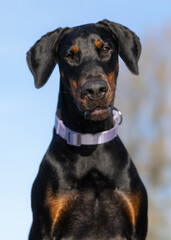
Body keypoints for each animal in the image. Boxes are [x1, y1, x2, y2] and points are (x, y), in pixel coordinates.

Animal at [27, 19, 148, 240]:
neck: (90, 138)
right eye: (69, 56)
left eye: (106, 49)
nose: (95, 90)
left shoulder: (136, 226)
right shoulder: (45, 228)